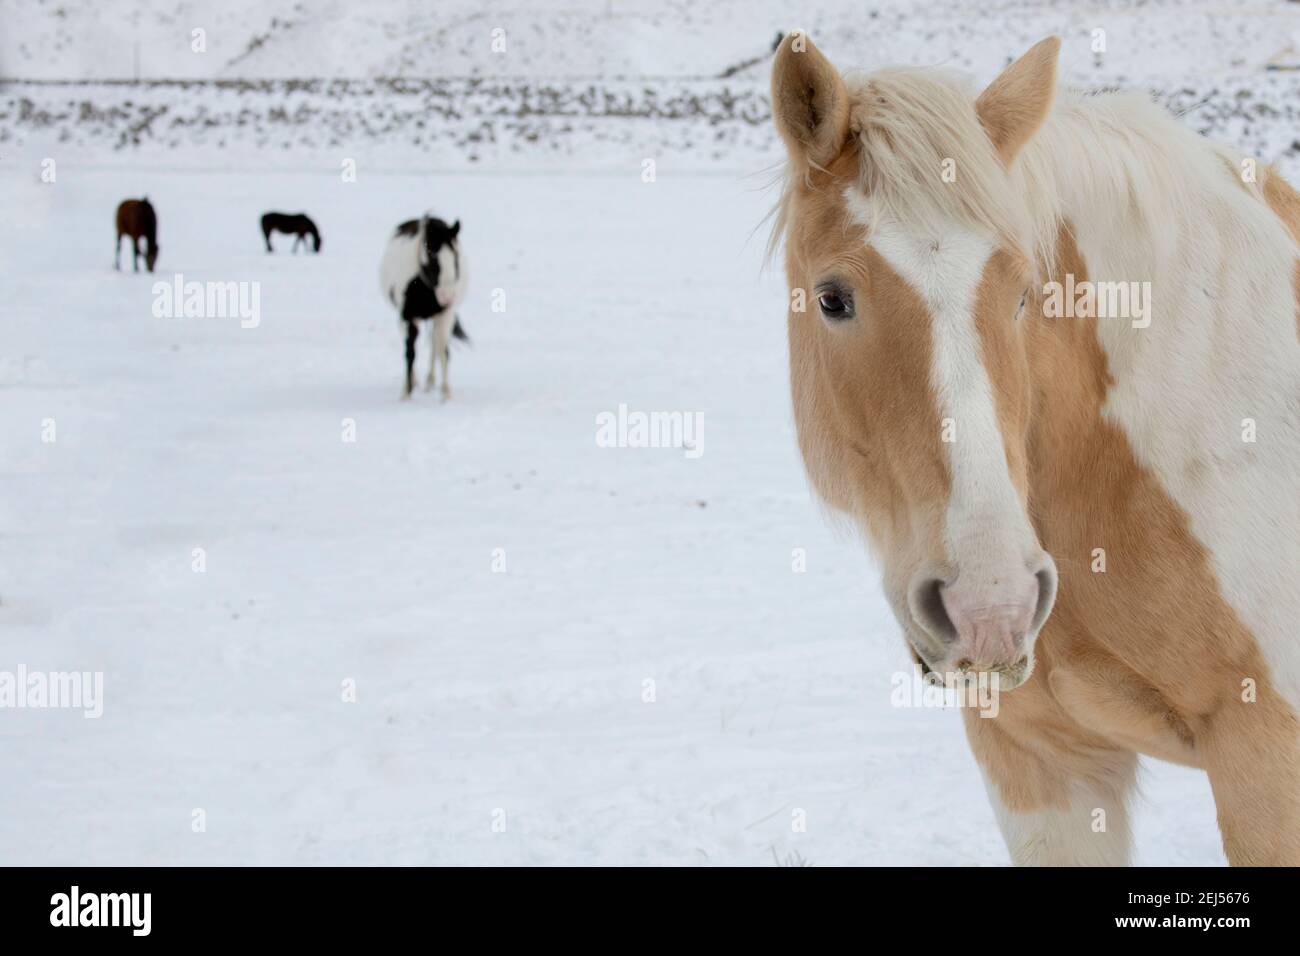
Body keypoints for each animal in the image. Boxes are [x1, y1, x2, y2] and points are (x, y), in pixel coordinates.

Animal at [379, 215, 469, 400]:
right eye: (432, 256)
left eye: (455, 256)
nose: (447, 296)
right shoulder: (407, 317)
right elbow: (410, 353)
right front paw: (406, 394)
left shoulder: (445, 314)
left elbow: (443, 351)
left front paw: (446, 395)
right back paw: (416, 382)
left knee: (434, 343)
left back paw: (430, 381)